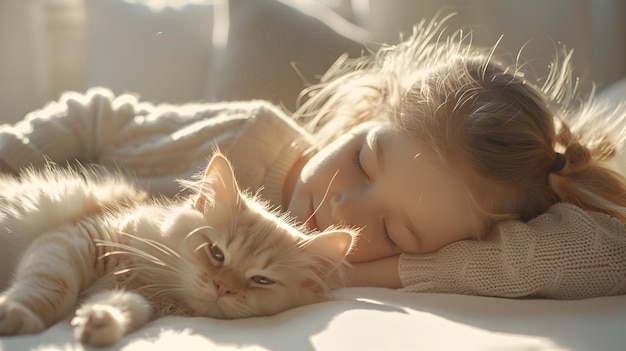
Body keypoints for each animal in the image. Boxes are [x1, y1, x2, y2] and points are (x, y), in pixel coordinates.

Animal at [0, 153, 354, 348]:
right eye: (216, 253)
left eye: (261, 281)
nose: (222, 287)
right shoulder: (78, 238)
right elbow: (49, 286)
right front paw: (18, 314)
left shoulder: (140, 299)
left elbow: (123, 308)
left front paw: (98, 322)